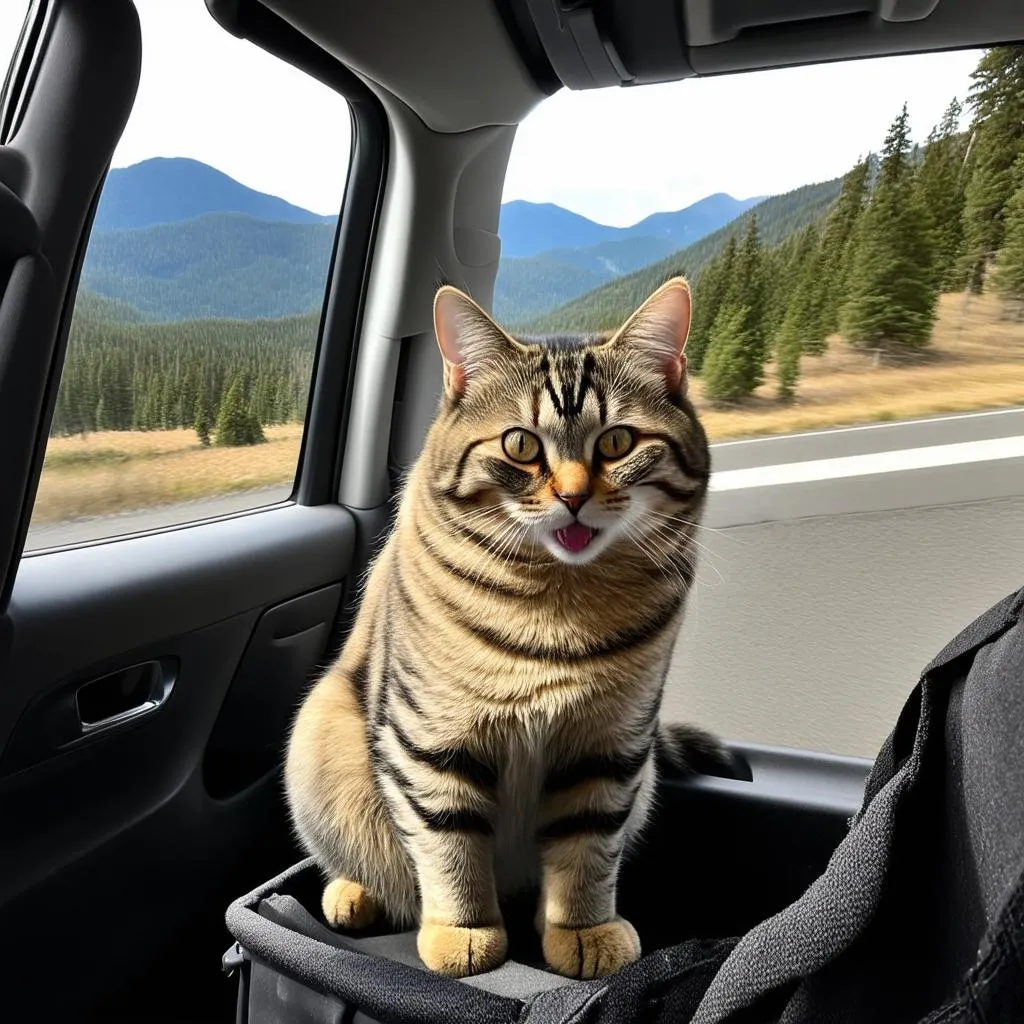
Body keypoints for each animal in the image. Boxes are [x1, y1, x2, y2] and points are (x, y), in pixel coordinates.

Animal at [284, 278, 741, 983]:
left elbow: (587, 852)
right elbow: (449, 848)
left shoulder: (609, 748)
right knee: (368, 860)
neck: (558, 603)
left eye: (617, 442)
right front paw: (465, 932)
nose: (574, 497)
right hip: (320, 738)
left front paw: (581, 930)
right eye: (521, 446)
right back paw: (353, 893)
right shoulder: (432, 741)